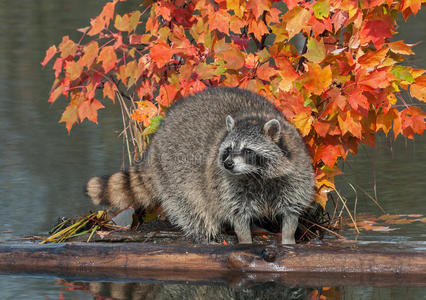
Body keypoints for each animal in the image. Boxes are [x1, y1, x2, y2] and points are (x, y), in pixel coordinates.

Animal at [86, 86, 314, 244]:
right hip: (171, 171)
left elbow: (292, 210)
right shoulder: (225, 184)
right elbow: (236, 212)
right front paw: (245, 239)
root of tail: (156, 139)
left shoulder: (296, 171)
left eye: (248, 151)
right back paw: (206, 232)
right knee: (190, 205)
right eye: (228, 150)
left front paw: (288, 238)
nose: (228, 164)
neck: (256, 175)